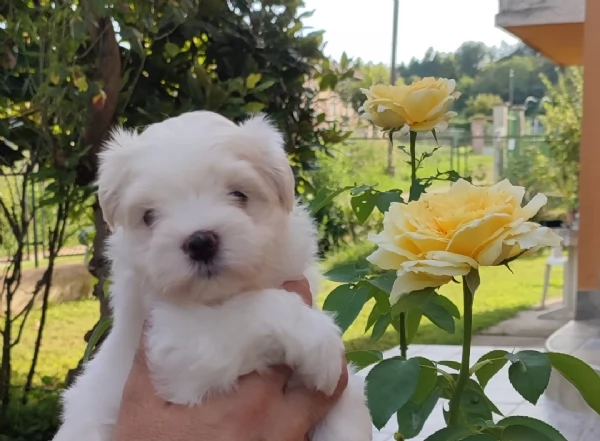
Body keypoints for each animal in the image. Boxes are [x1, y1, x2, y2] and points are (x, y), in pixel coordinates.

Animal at [52, 110, 370, 440]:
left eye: (239, 194)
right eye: (149, 216)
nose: (200, 242)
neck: (220, 295)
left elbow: (348, 409)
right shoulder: (173, 343)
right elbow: (257, 309)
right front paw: (319, 341)